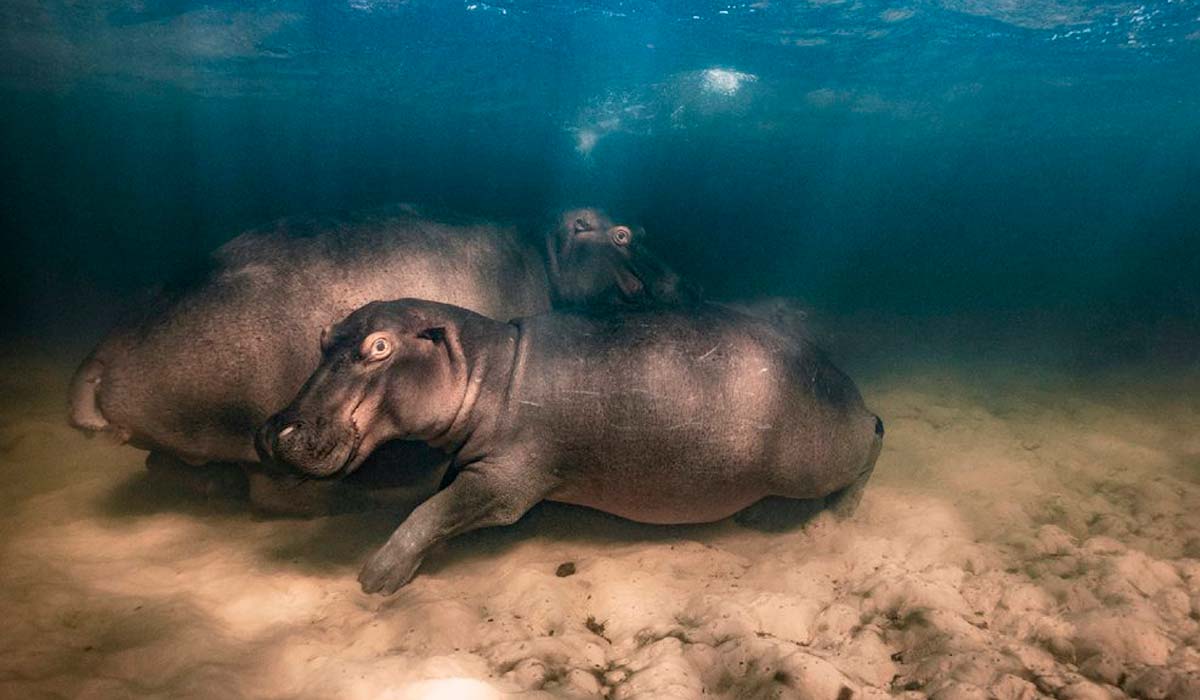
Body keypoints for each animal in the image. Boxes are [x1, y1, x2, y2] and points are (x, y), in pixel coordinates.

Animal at [260, 298, 883, 595]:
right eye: (323, 337)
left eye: (380, 346)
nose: (274, 430)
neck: (487, 368)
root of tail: (844, 381)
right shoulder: (472, 463)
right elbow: (438, 498)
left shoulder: (506, 482)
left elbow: (432, 511)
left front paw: (376, 576)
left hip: (815, 461)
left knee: (873, 439)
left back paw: (841, 514)